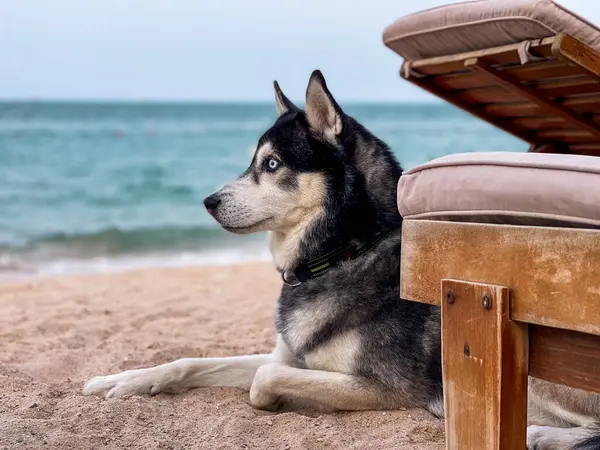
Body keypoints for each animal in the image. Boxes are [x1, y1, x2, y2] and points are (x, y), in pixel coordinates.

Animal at [83, 71, 600, 450]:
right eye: (253, 161)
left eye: (272, 164)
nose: (208, 202)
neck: (340, 254)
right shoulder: (288, 354)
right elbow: (189, 361)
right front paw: (124, 380)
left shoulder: (379, 386)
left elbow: (265, 379)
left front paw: (274, 401)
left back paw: (541, 433)